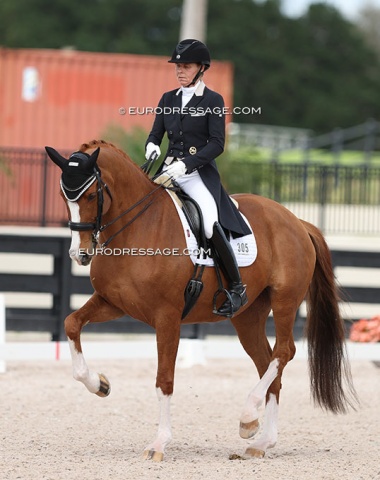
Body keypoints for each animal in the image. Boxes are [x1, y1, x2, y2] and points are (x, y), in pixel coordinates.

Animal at [44, 140, 356, 462]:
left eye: (92, 195)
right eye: (63, 196)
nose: (79, 254)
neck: (137, 228)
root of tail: (296, 220)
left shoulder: (167, 317)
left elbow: (164, 380)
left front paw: (159, 444)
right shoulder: (113, 303)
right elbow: (71, 323)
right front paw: (100, 384)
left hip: (285, 300)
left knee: (283, 352)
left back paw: (247, 418)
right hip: (248, 316)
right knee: (268, 364)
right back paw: (261, 440)